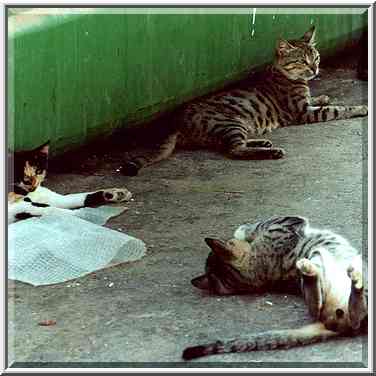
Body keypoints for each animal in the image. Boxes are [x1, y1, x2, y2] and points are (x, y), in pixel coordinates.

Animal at [120, 26, 368, 176]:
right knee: (234, 150)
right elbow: (338, 109)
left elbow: (319, 99)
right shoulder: (302, 112)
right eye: (301, 61)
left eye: (315, 57)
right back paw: (271, 151)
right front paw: (360, 107)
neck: (284, 74)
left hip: (238, 125)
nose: (315, 69)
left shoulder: (306, 103)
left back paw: (263, 143)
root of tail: (177, 123)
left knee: (232, 145)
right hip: (230, 121)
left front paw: (323, 95)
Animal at [182, 217, 368, 362]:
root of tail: (331, 323)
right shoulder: (286, 222)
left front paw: (242, 233)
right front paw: (242, 231)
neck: (259, 272)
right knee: (345, 311)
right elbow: (258, 225)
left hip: (316, 262)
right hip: (321, 267)